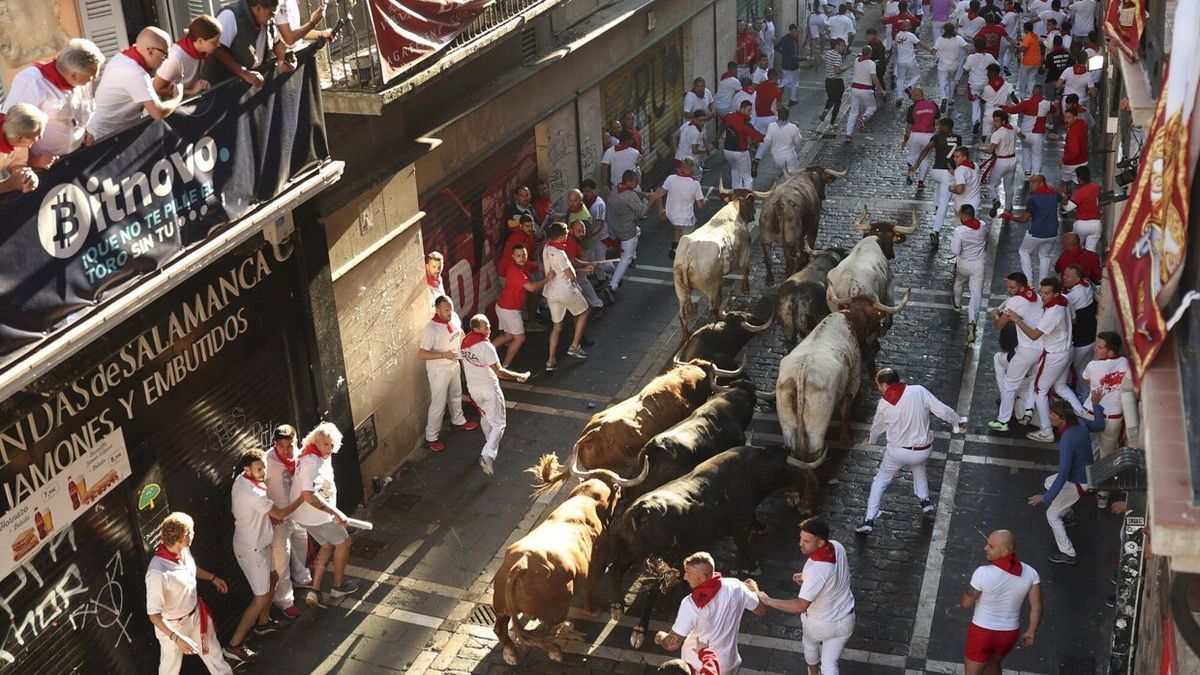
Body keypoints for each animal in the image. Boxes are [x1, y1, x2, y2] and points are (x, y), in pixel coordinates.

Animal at [489, 461, 638, 662]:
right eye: (617, 488)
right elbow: (590, 589)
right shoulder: (596, 566)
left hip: (501, 607)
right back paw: (556, 651)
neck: (588, 498)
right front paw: (592, 611)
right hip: (555, 609)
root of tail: (519, 566)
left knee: (500, 628)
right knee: (545, 631)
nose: (625, 494)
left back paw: (510, 652)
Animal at [604, 446, 792, 648]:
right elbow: (743, 544)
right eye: (783, 464)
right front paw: (753, 566)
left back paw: (617, 606)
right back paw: (639, 630)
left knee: (616, 570)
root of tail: (641, 511)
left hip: (630, 551)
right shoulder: (742, 522)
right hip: (660, 560)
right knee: (651, 588)